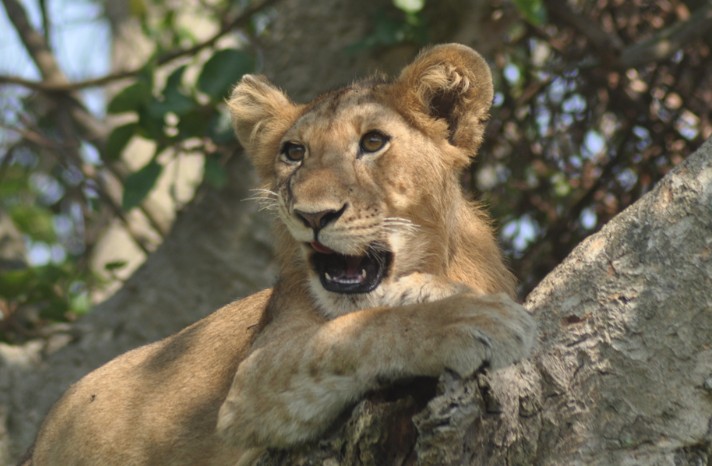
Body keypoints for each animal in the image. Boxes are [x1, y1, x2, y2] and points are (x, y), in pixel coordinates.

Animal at [24, 44, 535, 465]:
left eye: (373, 142)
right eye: (294, 152)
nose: (313, 216)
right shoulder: (251, 381)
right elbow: (360, 331)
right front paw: (468, 319)